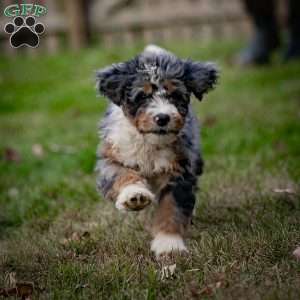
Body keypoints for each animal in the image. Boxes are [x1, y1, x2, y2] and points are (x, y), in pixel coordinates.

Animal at [95, 45, 218, 256]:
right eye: (143, 96)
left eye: (175, 95)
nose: (162, 118)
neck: (150, 143)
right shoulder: (111, 156)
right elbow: (121, 174)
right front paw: (134, 195)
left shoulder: (180, 169)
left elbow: (172, 207)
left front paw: (169, 244)